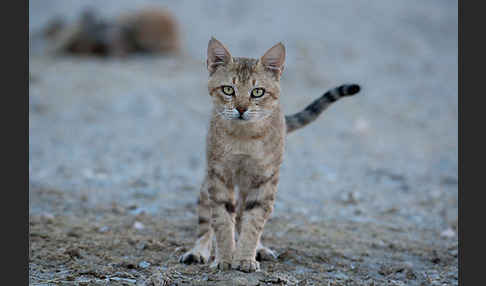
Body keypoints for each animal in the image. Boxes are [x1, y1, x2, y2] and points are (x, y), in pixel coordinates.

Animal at [179, 38, 360, 272]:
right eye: (228, 89)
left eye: (257, 92)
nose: (241, 109)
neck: (244, 138)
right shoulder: (219, 176)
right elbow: (222, 219)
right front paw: (224, 259)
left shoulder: (265, 179)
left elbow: (253, 221)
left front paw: (245, 258)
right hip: (209, 182)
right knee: (206, 219)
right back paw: (198, 250)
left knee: (244, 215)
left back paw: (259, 249)